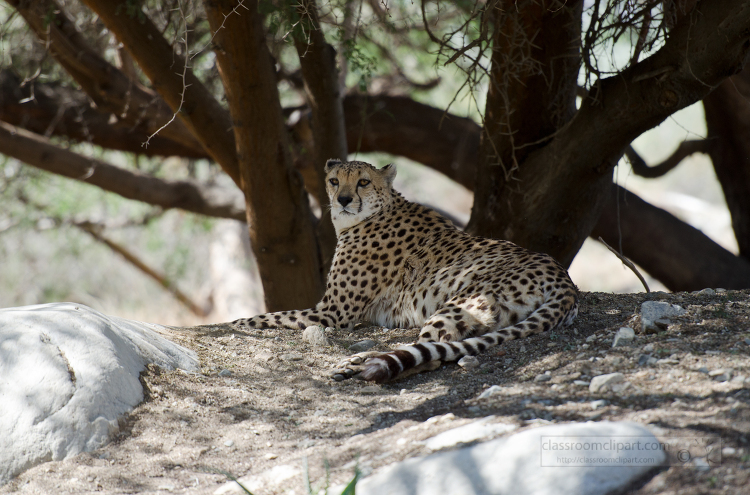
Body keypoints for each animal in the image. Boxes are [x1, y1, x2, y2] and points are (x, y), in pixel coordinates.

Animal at [235, 160, 580, 384]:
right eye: (335, 180)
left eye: (363, 181)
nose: (343, 199)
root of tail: (563, 276)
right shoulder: (332, 311)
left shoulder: (332, 313)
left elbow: (257, 319)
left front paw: (236, 323)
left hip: (458, 303)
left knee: (428, 353)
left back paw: (361, 366)